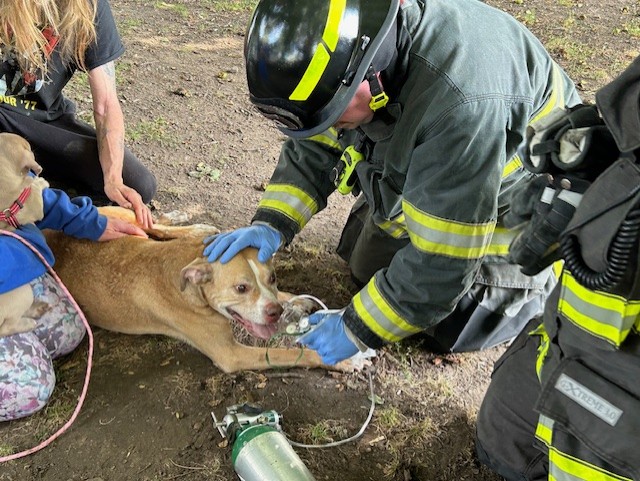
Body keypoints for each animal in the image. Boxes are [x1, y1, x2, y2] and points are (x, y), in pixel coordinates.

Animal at [43, 206, 343, 373]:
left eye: (273, 277)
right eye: (241, 288)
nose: (275, 312)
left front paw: (296, 302)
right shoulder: (231, 354)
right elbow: (289, 354)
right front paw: (341, 361)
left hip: (115, 220)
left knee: (153, 225)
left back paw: (191, 224)